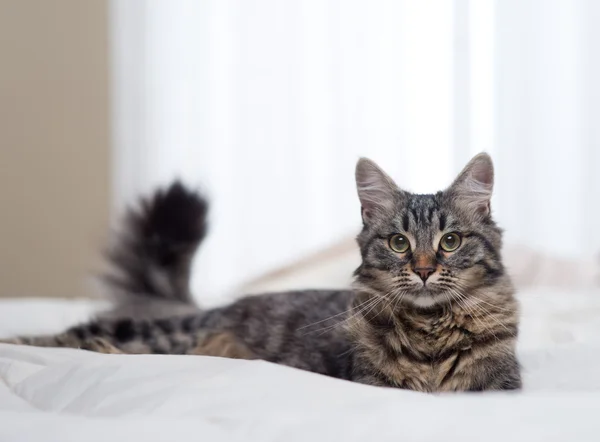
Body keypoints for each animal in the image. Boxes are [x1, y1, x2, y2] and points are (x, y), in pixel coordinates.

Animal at [1, 154, 520, 392]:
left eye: (449, 242)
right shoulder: (372, 381)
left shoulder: (498, 386)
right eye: (399, 243)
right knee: (81, 335)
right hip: (164, 334)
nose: (426, 270)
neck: (431, 332)